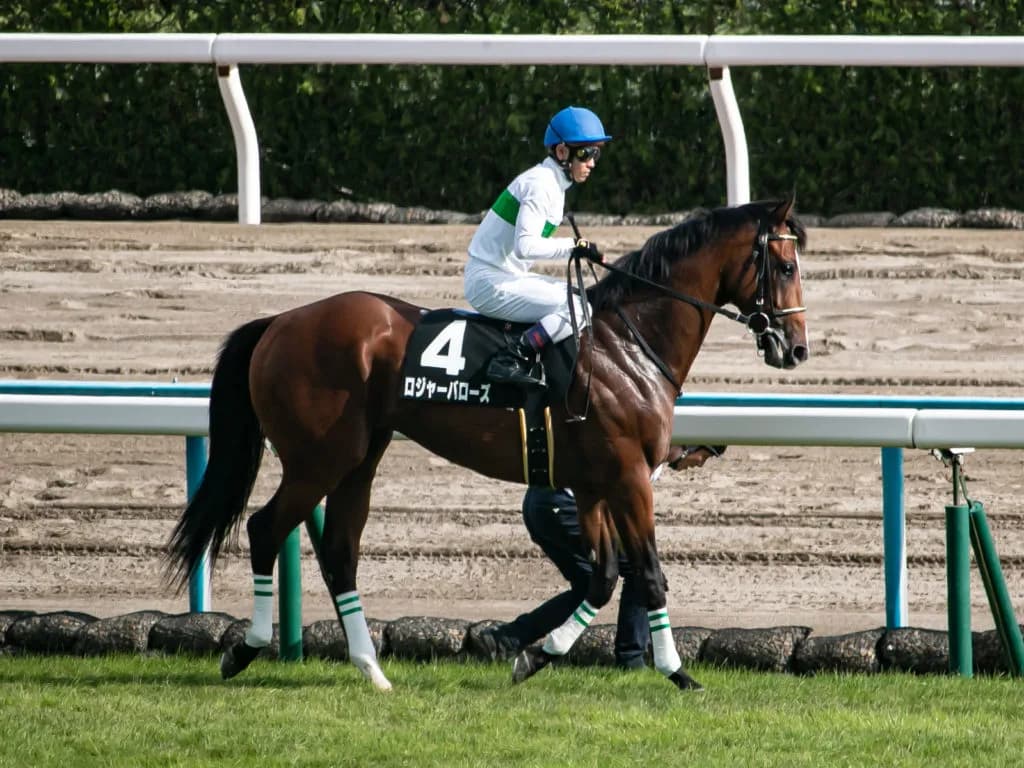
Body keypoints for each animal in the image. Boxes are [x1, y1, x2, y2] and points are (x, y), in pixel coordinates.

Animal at [166, 196, 808, 692]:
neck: (628, 345)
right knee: (264, 529)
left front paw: (536, 656)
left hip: (359, 458)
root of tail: (279, 321)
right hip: (316, 459)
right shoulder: (628, 478)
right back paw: (245, 648)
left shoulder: (593, 484)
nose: (796, 348)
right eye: (783, 266)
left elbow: (603, 576)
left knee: (341, 552)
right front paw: (677, 672)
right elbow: (647, 572)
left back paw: (372, 669)